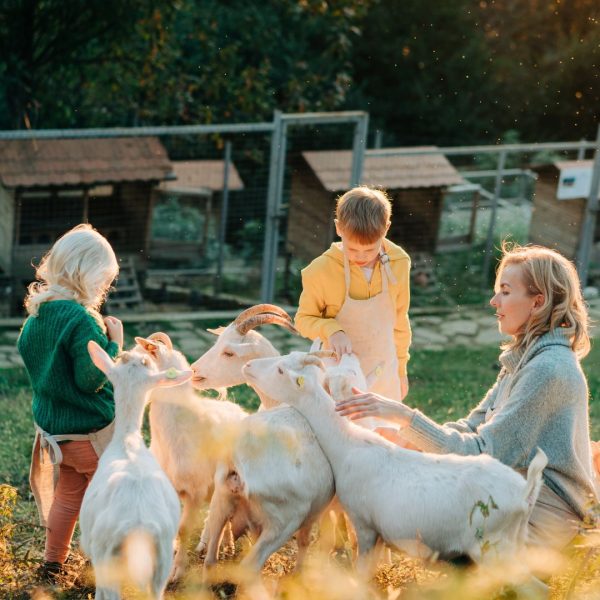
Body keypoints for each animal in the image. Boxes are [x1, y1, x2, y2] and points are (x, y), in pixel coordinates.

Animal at [243, 352, 548, 576]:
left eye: (280, 371)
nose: (247, 366)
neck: (348, 445)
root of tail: (525, 493)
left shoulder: (364, 524)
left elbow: (360, 571)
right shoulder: (380, 533)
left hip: (494, 548)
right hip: (514, 545)